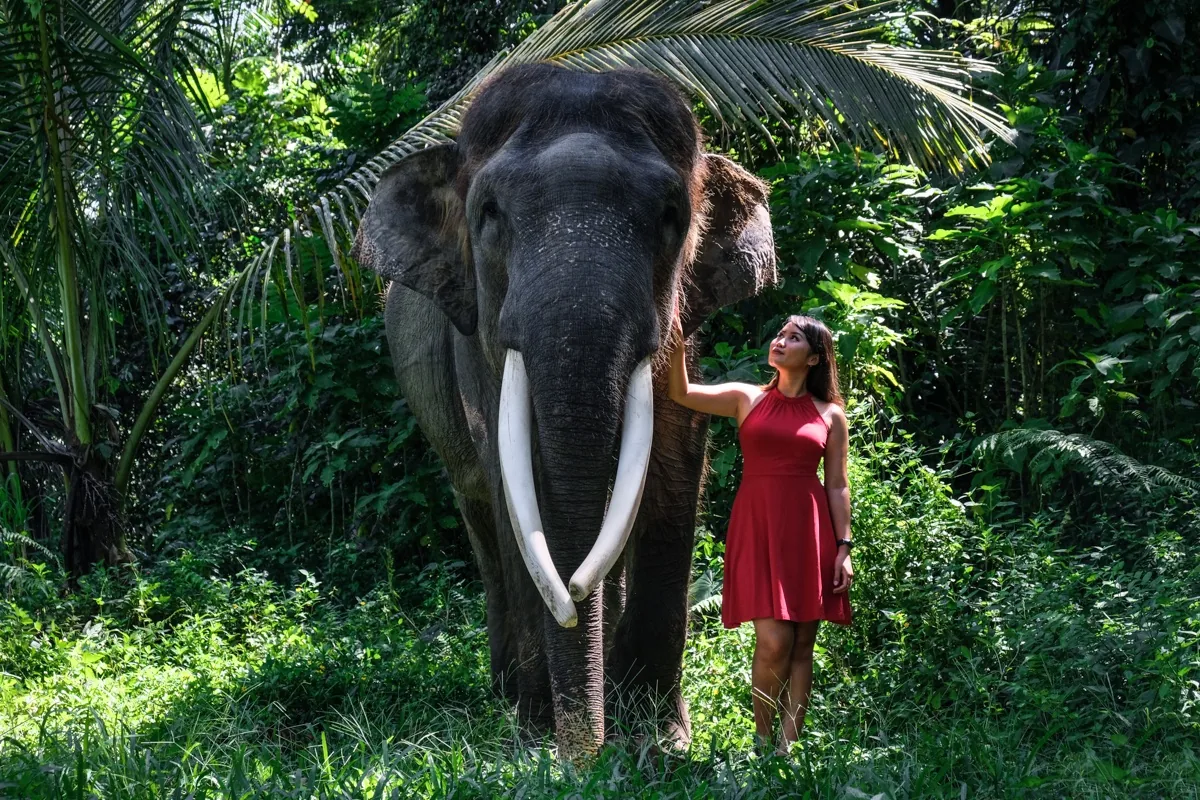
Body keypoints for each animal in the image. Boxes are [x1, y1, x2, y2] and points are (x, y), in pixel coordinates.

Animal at [351, 62, 776, 755]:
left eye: (672, 214)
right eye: (489, 213)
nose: (585, 757)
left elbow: (675, 461)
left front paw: (660, 742)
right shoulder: (476, 345)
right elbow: (511, 479)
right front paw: (537, 738)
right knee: (480, 514)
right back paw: (507, 693)